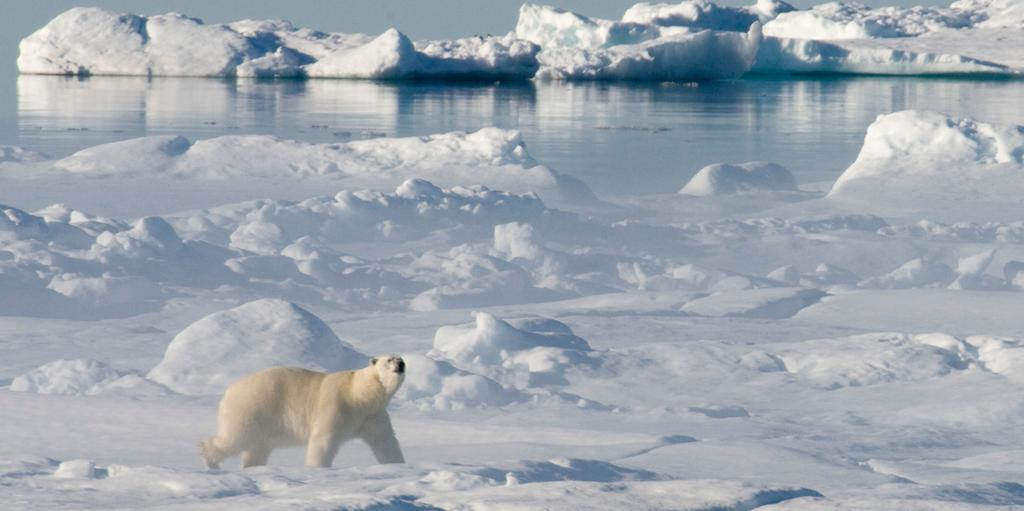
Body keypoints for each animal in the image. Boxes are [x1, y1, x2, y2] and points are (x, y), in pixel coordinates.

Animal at [197, 356, 405, 469]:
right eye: (389, 359)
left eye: (401, 358)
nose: (401, 364)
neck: (359, 394)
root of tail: (230, 389)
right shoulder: (337, 406)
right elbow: (324, 439)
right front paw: (317, 467)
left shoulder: (373, 416)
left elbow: (386, 442)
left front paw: (397, 465)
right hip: (252, 407)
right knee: (237, 437)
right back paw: (210, 461)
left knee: (257, 448)